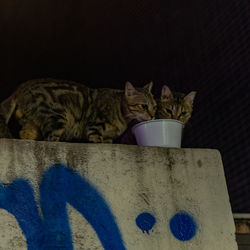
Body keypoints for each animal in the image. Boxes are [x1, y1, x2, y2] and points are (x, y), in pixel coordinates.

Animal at [0, 79, 156, 144]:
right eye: (144, 106)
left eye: (154, 106)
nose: (153, 116)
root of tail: (19, 90)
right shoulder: (94, 126)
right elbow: (96, 139)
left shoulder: (108, 136)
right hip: (58, 117)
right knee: (50, 138)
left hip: (32, 123)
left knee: (24, 133)